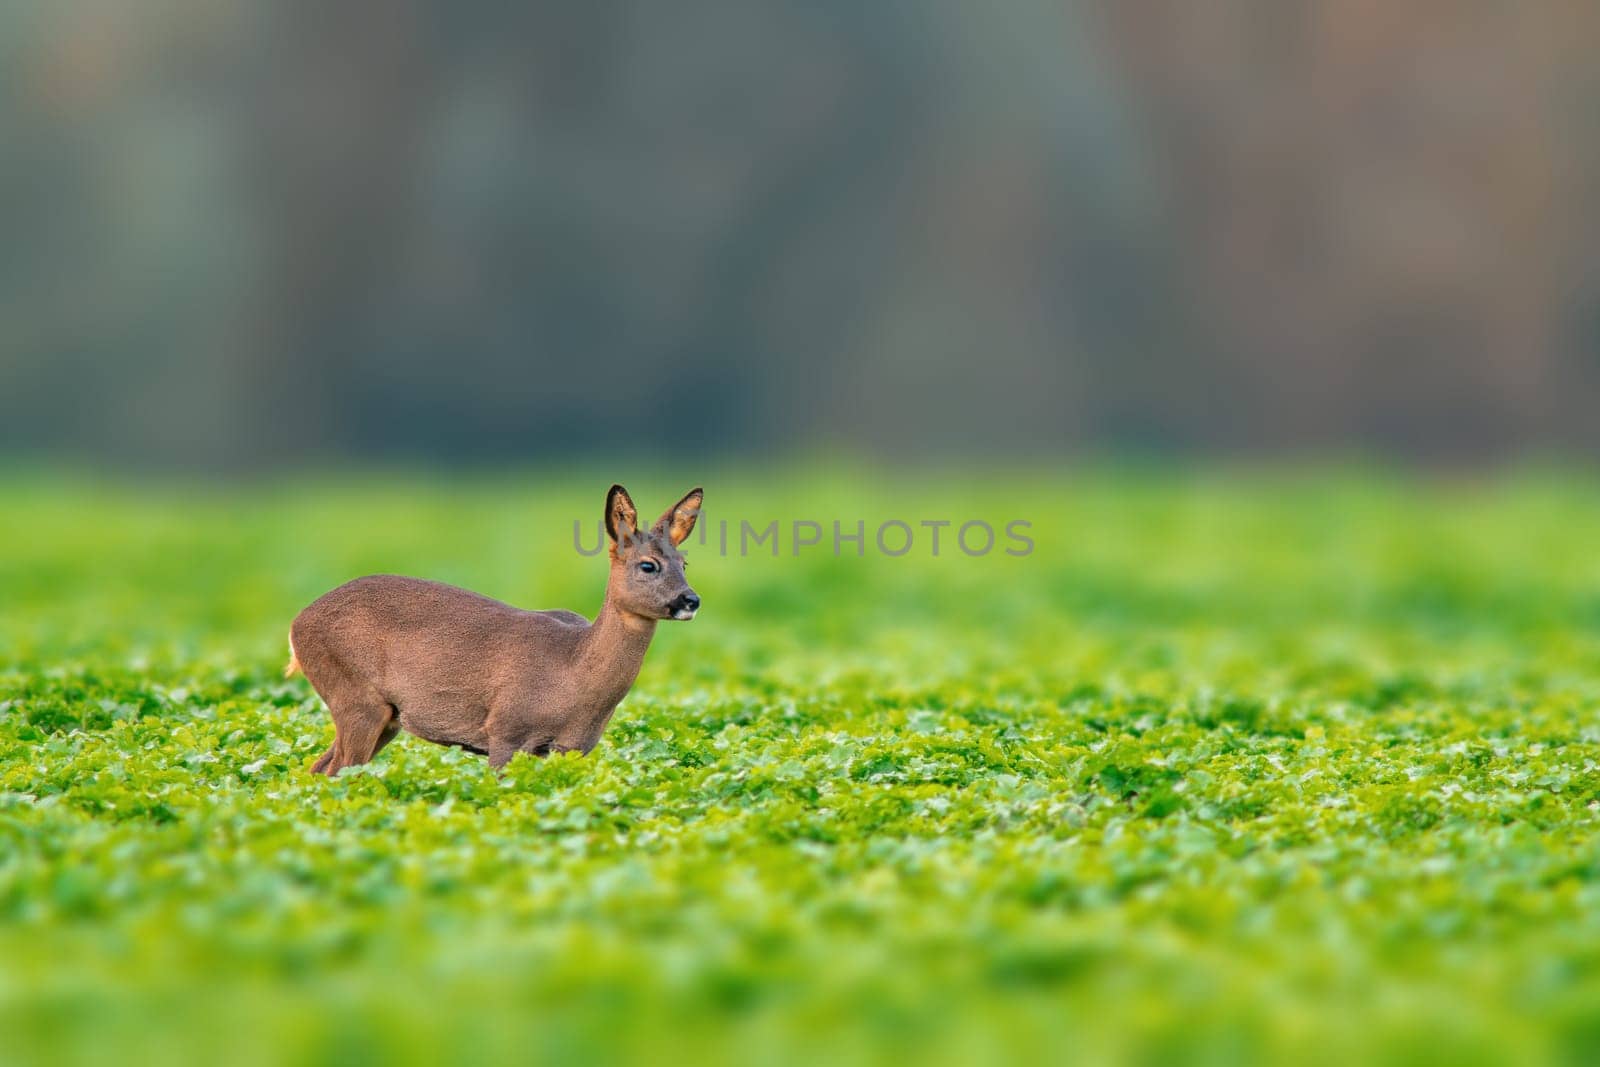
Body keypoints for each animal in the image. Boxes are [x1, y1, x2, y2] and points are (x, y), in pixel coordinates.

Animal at [283, 486, 707, 777]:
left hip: (384, 716)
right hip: (354, 697)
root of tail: (295, 625)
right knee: (336, 772)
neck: (572, 670)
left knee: (318, 768)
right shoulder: (505, 730)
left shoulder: (572, 748)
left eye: (684, 563)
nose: (690, 600)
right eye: (648, 565)